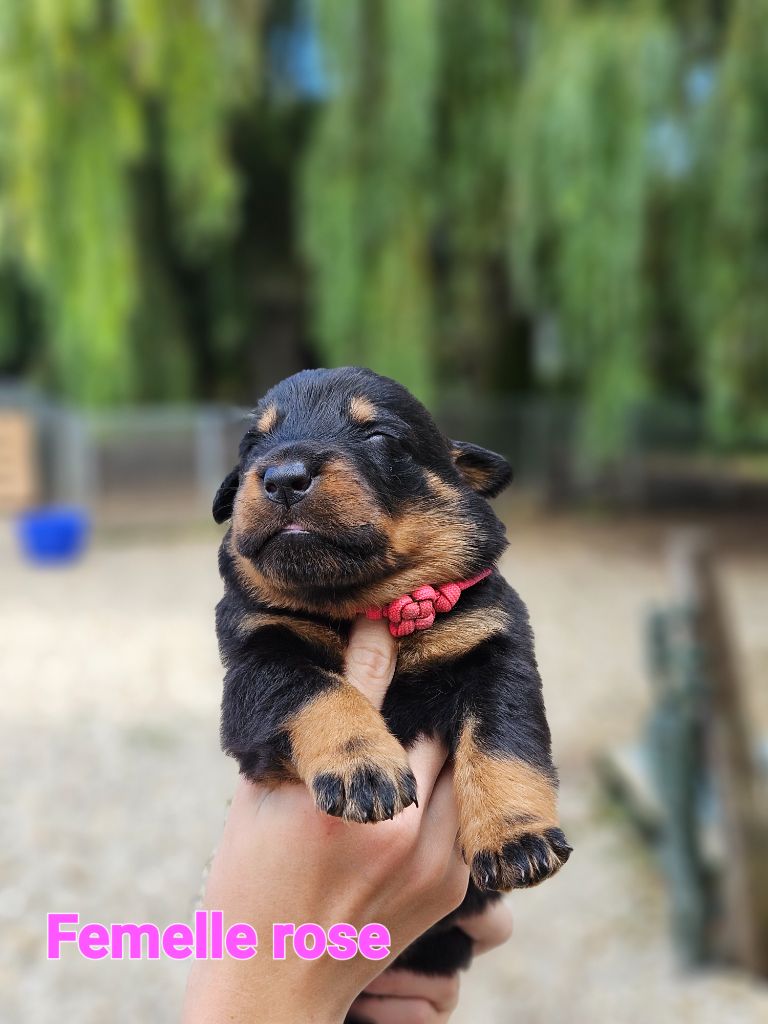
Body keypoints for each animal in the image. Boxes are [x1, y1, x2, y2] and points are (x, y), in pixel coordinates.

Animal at [213, 366, 571, 979]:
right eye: (254, 445)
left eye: (378, 436)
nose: (282, 477)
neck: (364, 604)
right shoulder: (253, 664)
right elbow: (313, 686)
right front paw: (363, 766)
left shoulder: (496, 647)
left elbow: (504, 740)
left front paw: (516, 837)